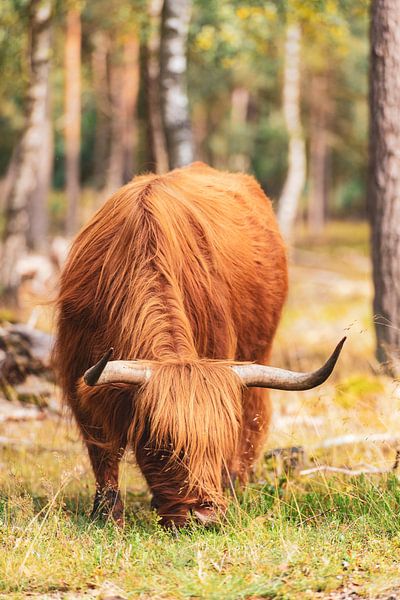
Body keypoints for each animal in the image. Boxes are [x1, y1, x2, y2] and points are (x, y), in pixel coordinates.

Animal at [53, 162, 344, 528]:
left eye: (218, 443)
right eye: (164, 445)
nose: (205, 514)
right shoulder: (81, 376)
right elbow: (103, 449)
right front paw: (107, 515)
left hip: (258, 351)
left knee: (254, 419)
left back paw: (235, 487)